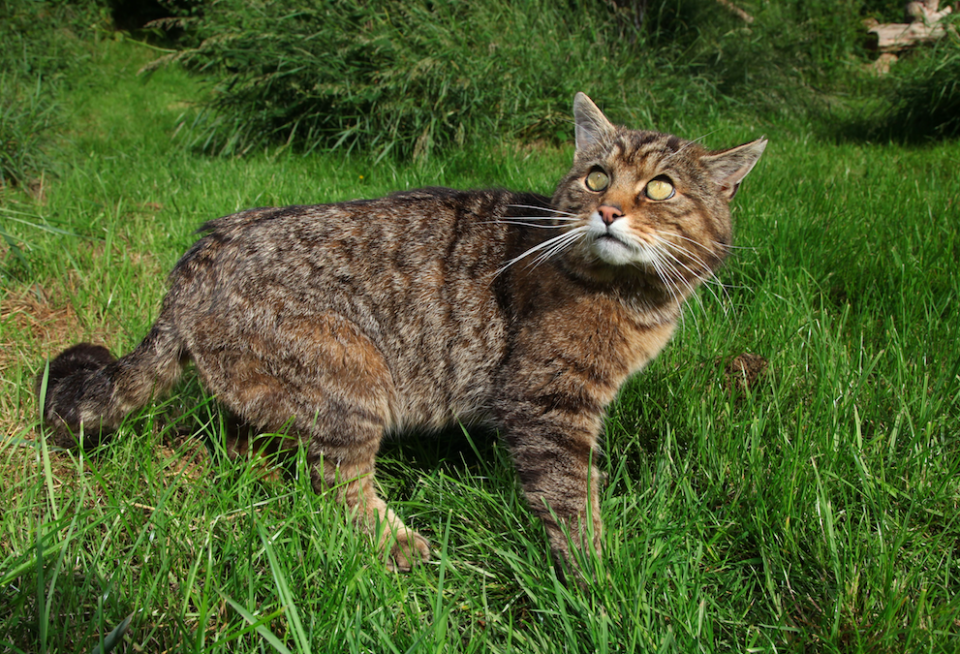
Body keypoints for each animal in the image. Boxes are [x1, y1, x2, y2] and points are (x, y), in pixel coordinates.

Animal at [35, 95, 764, 576]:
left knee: (251, 442)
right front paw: (599, 578)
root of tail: (202, 250)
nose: (609, 211)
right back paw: (400, 546)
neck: (633, 300)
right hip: (350, 380)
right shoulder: (548, 405)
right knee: (339, 486)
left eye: (661, 189)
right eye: (595, 177)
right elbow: (570, 500)